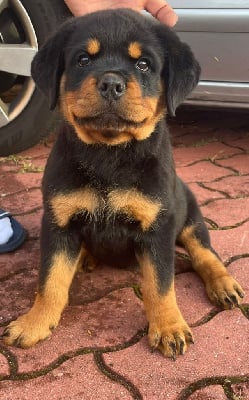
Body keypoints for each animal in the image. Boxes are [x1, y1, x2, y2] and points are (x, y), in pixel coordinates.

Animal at [2, 8, 244, 360]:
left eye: (143, 64)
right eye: (82, 60)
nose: (111, 83)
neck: (109, 152)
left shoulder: (157, 227)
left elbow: (161, 285)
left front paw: (169, 327)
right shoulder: (59, 222)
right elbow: (50, 280)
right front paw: (34, 323)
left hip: (190, 217)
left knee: (204, 253)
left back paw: (223, 285)